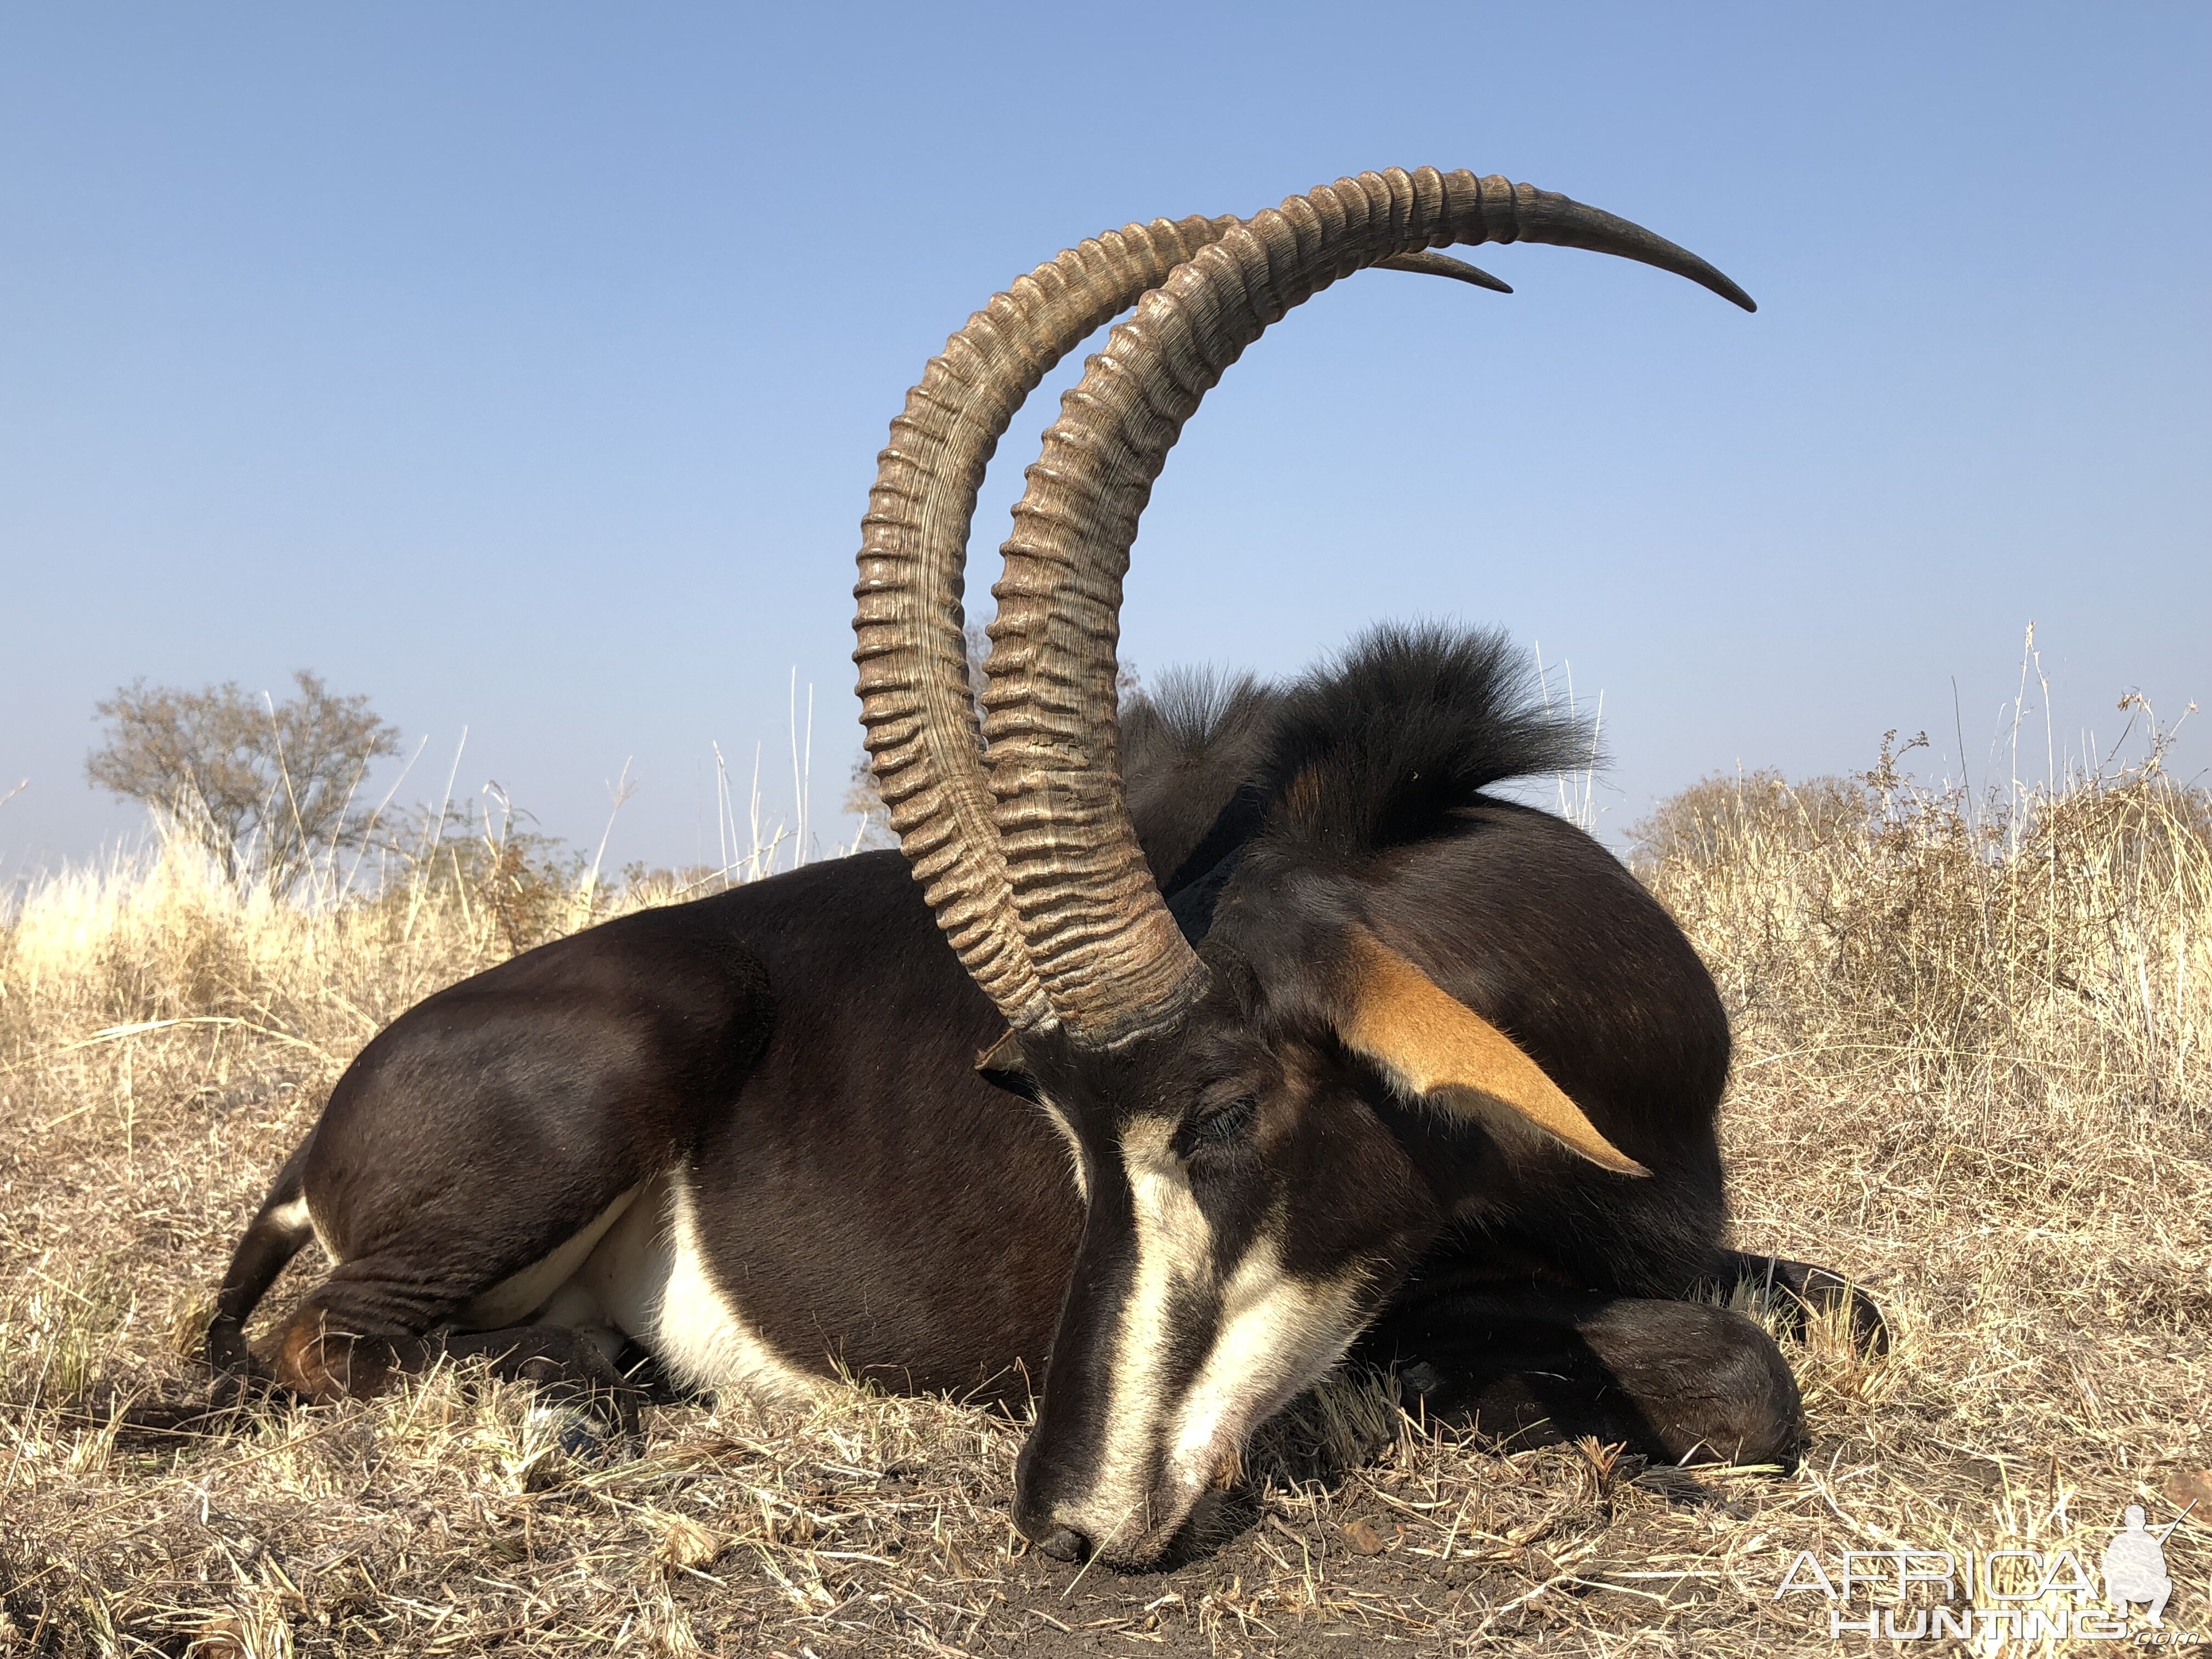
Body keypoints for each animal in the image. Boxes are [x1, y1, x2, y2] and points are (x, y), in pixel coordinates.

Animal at [211, 169, 1884, 1575]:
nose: (1070, 1519)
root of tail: (326, 1131)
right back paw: (565, 1401)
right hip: (616, 1065)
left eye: (1221, 1115)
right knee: (317, 1343)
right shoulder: (1426, 1293)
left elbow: (1845, 1308)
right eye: (1067, 1147)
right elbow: (1736, 1374)